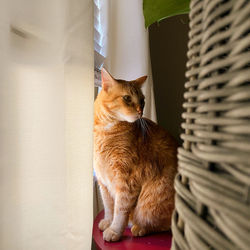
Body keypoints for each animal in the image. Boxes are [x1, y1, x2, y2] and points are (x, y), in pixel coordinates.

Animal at [94, 67, 178, 241]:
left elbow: (120, 210)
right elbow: (109, 207)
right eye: (127, 98)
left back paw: (139, 228)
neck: (105, 131)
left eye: (142, 101)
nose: (140, 111)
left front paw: (114, 231)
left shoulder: (127, 180)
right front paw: (108, 222)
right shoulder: (103, 182)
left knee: (163, 226)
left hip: (151, 204)